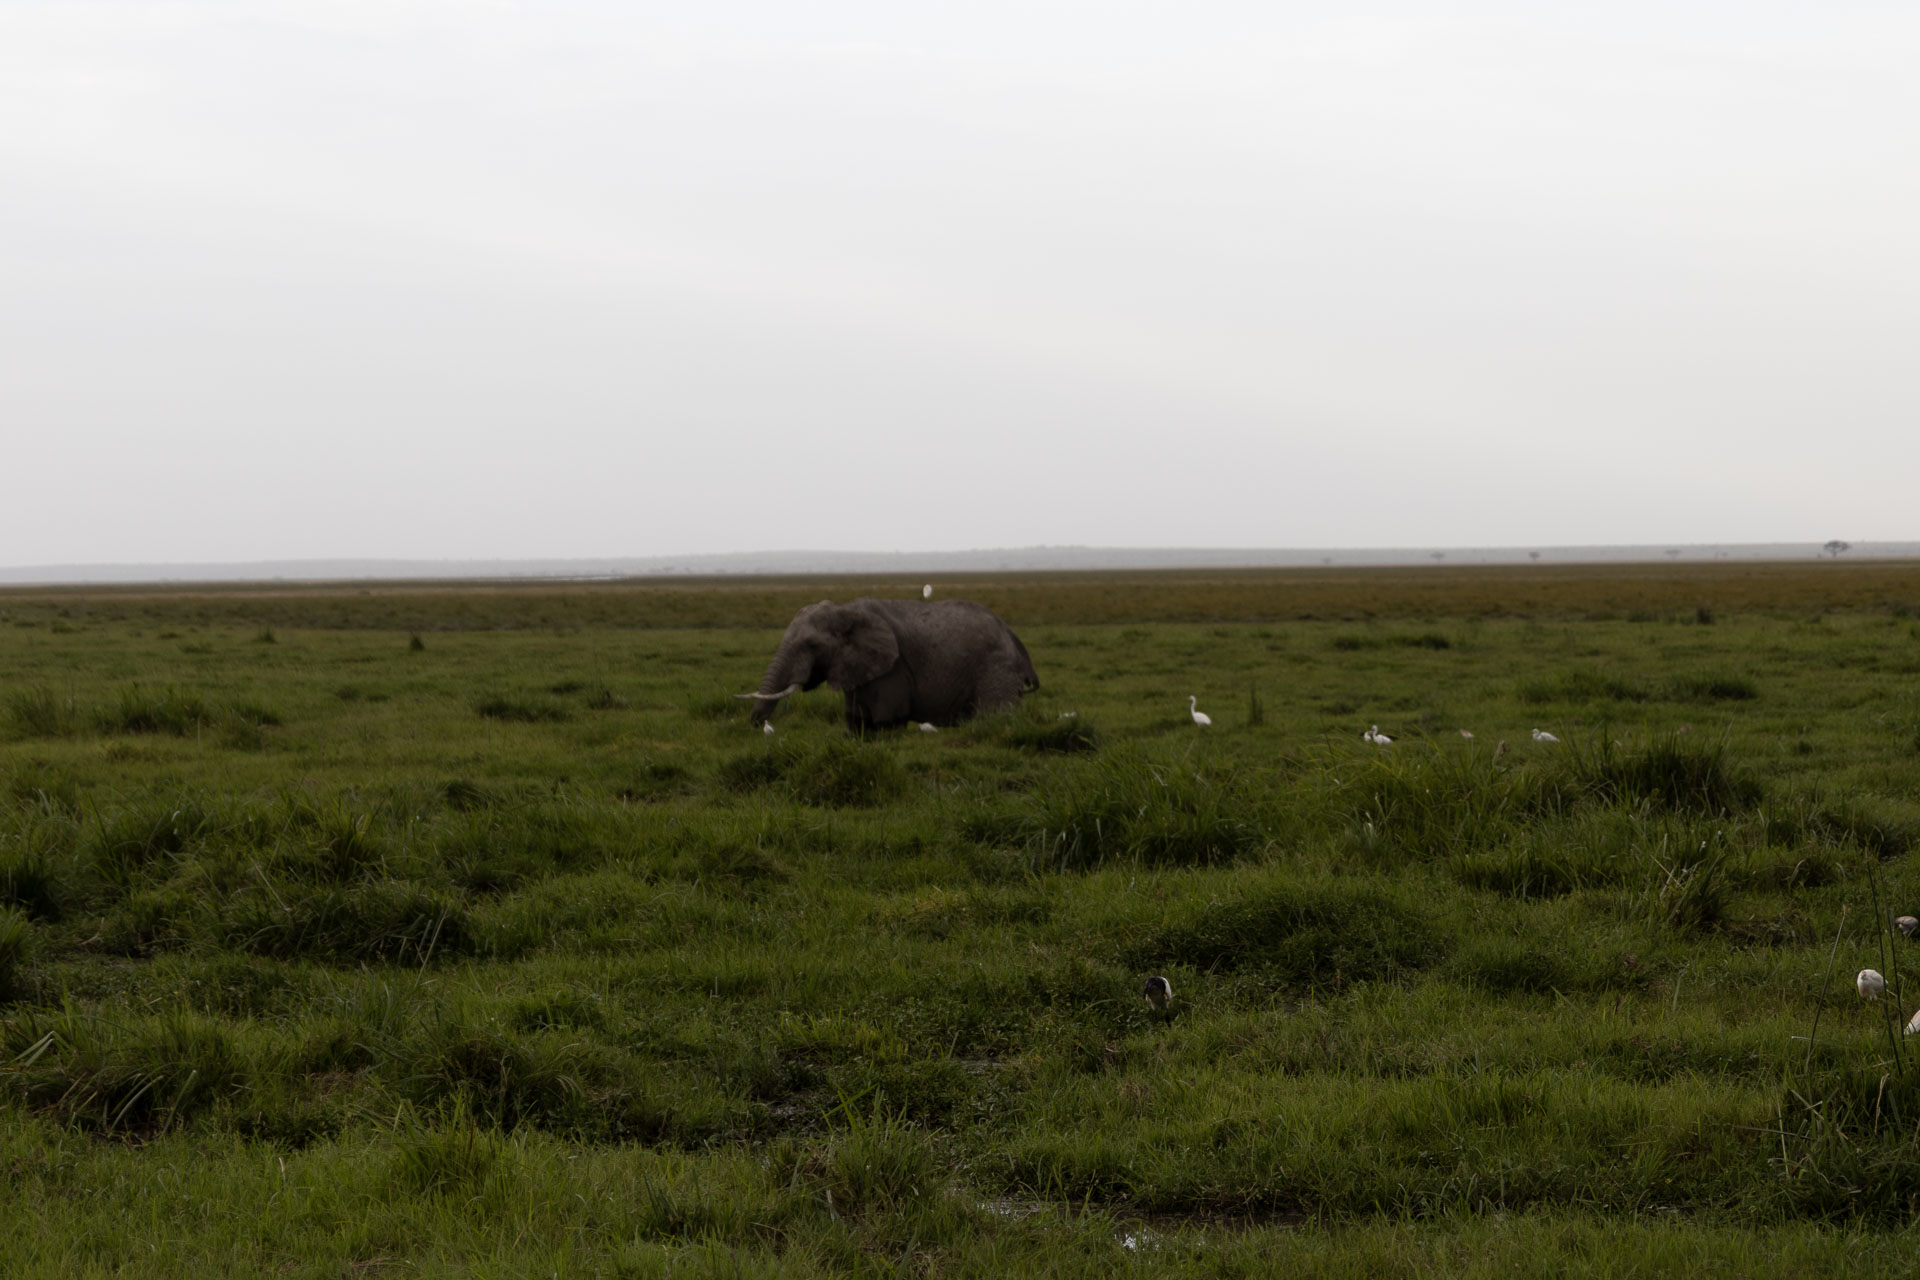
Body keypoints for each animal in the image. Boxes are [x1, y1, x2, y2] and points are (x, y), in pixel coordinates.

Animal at [737, 598, 1039, 731]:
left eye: (811, 645)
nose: (758, 724)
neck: (845, 610)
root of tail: (1014, 638)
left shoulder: (894, 668)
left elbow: (886, 722)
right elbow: (857, 722)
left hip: (996, 668)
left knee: (994, 716)